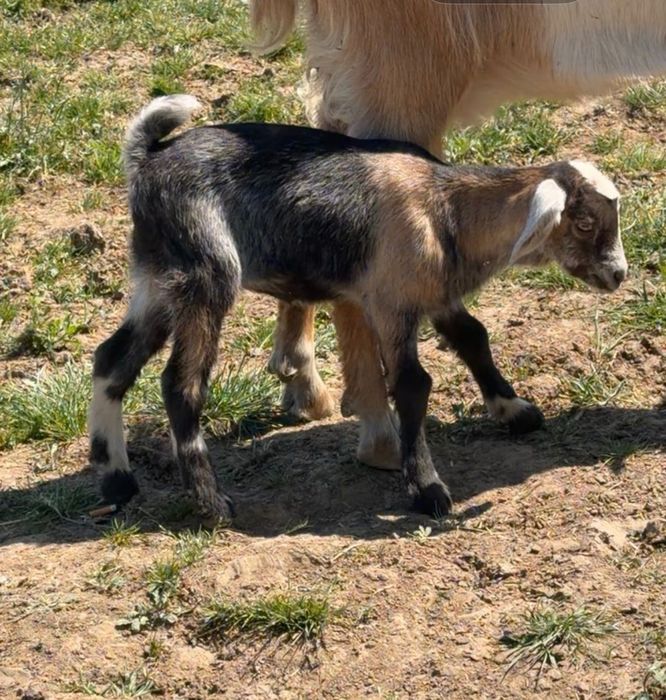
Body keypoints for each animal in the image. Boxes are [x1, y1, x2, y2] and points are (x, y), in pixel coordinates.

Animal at [88, 95, 626, 524]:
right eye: (582, 222)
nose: (618, 273)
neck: (444, 209)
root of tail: (147, 161)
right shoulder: (390, 303)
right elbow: (412, 384)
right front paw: (428, 489)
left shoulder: (435, 294)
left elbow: (474, 336)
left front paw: (514, 411)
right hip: (205, 274)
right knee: (182, 385)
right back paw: (211, 503)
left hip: (157, 283)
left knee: (111, 359)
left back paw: (116, 478)